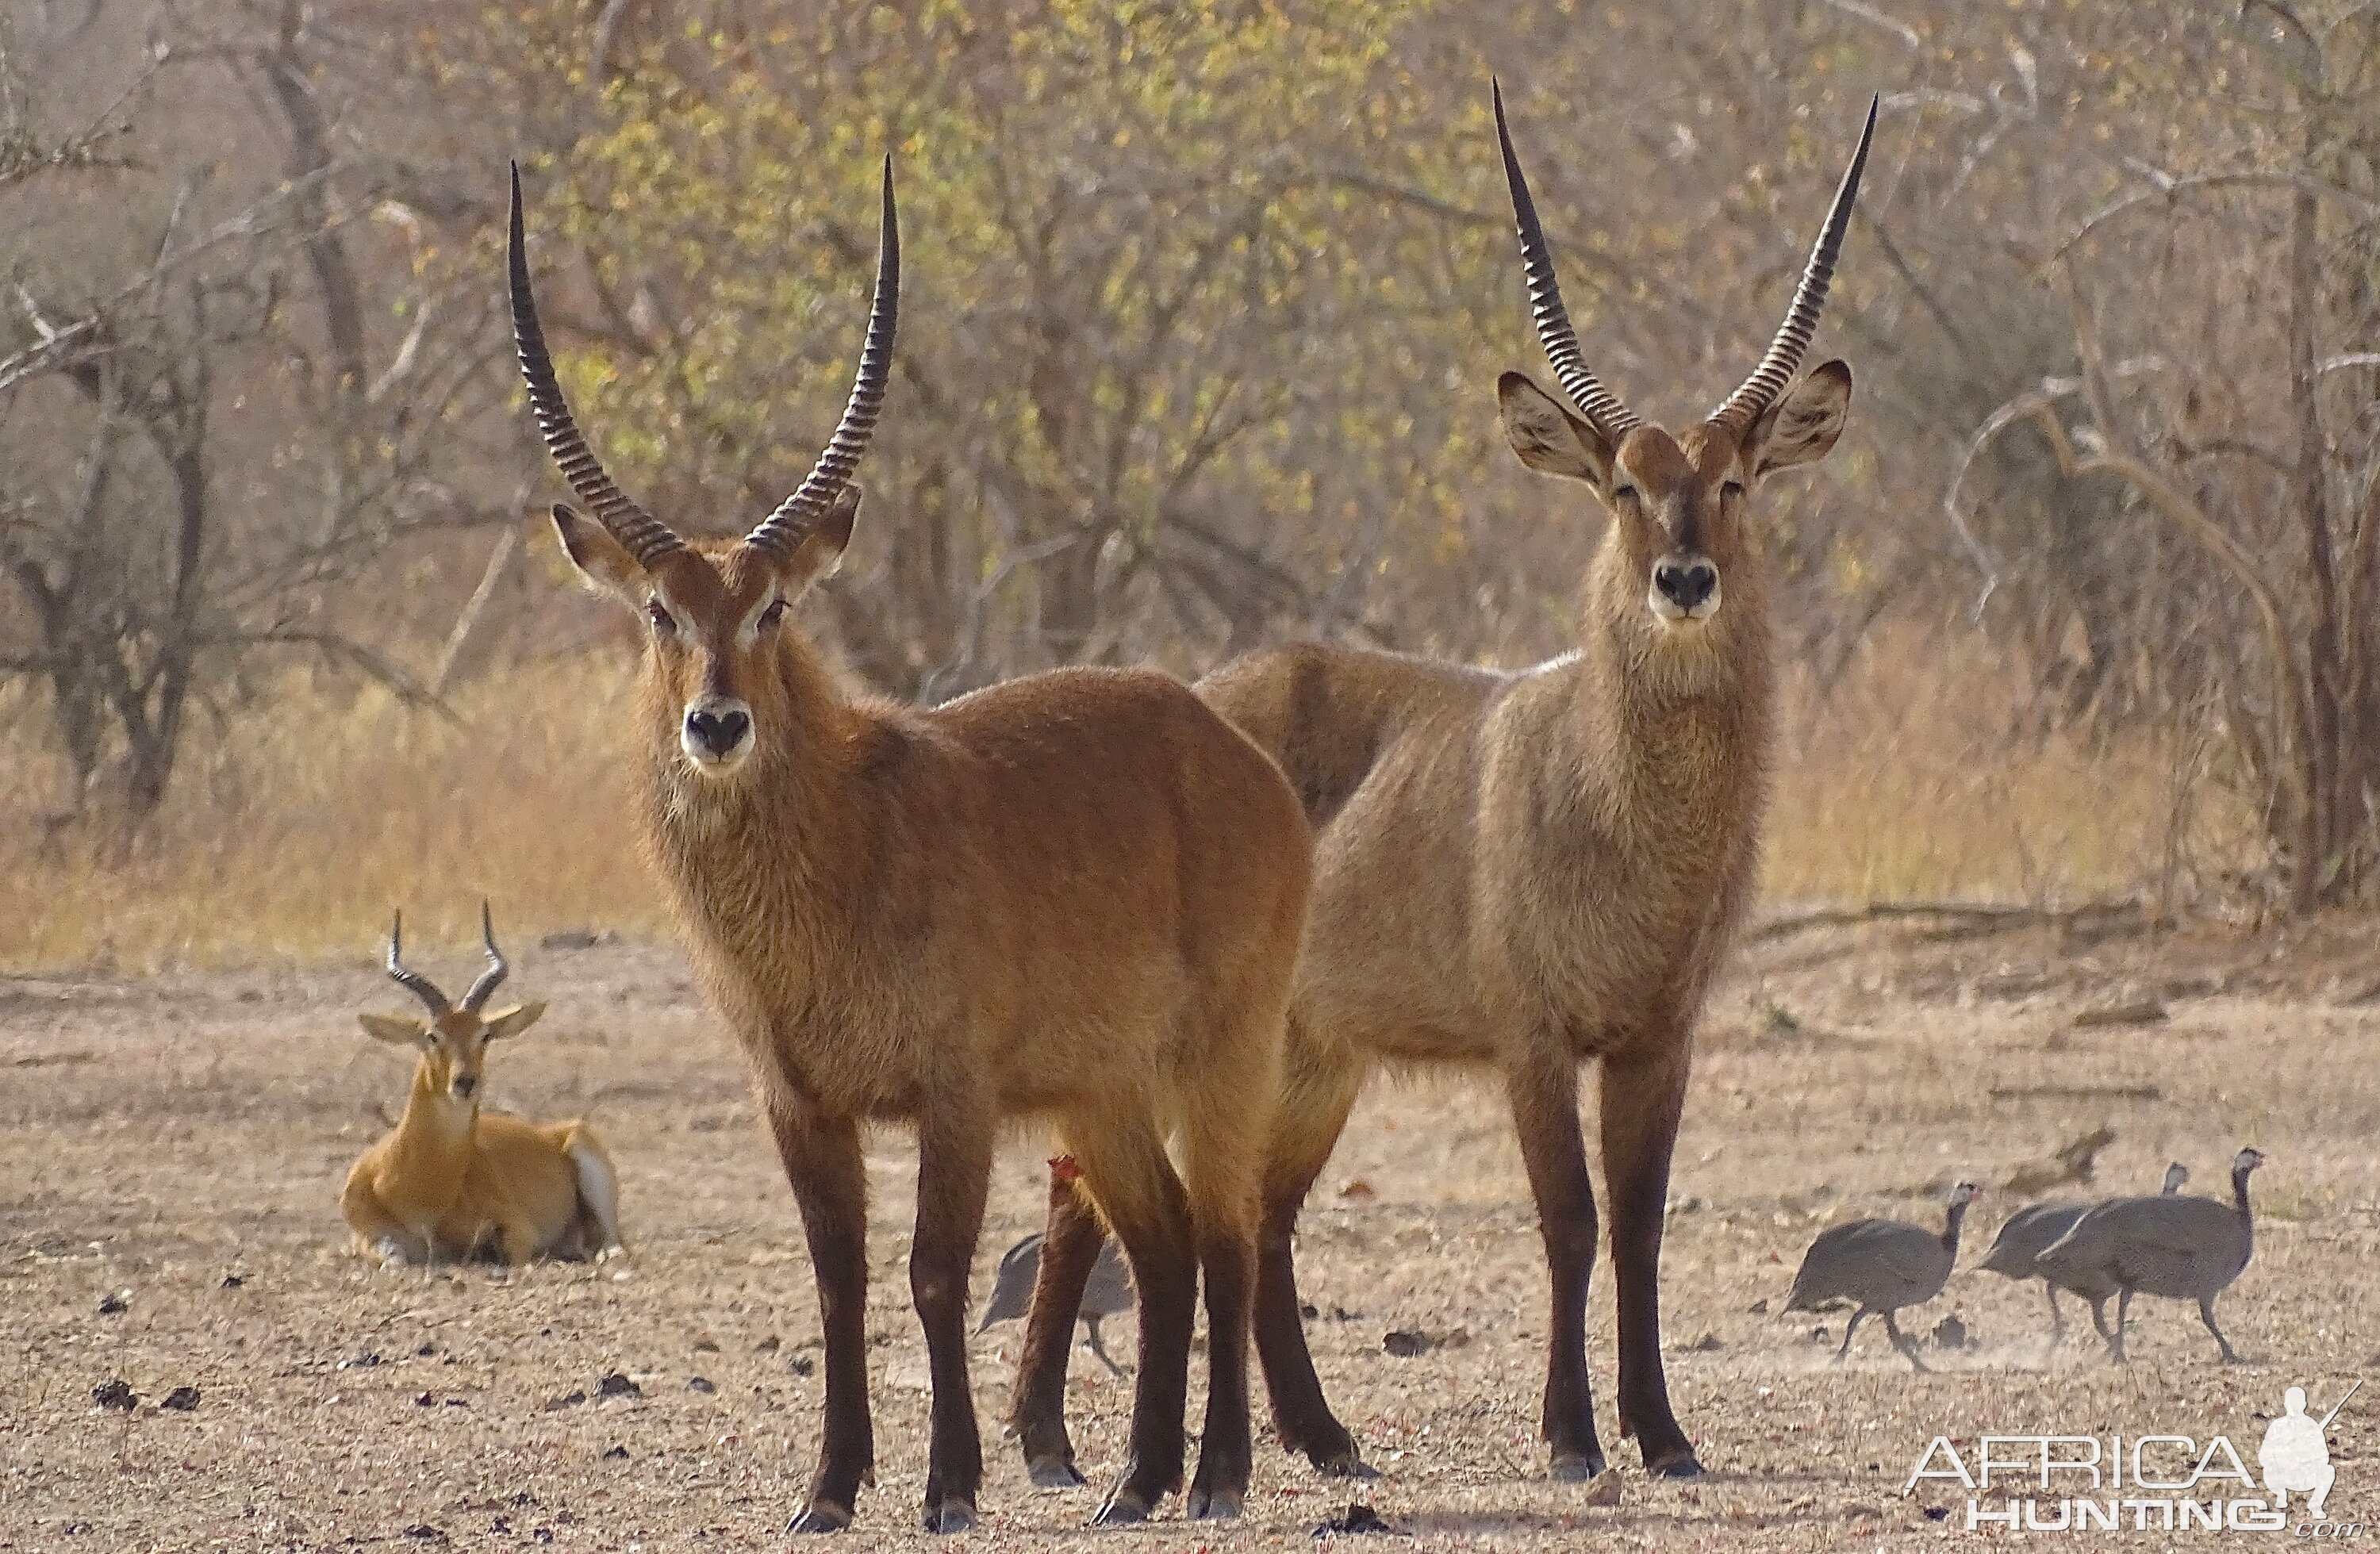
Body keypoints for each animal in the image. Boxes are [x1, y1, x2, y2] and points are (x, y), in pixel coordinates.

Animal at [345, 904, 628, 1266]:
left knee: (615, 1243)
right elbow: (392, 1257)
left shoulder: (519, 1228)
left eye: (485, 1035)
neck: (416, 1190)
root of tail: (554, 1131)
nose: (465, 1083)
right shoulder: (367, 1237)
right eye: (432, 1036)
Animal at [509, 160, 1314, 1523]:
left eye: (775, 606)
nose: (715, 722)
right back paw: (1135, 1481)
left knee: (1222, 1232)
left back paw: (1213, 1478)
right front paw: (830, 1485)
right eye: (663, 608)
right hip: (1098, 1087)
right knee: (1160, 1244)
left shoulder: (956, 1090)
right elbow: (837, 1276)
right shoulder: (796, 1101)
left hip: (1221, 1051)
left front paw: (949, 1483)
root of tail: (1232, 749)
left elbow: (935, 1270)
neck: (839, 846)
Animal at [1023, 82, 1875, 1475]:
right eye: (1623, 484)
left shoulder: (1659, 1037)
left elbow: (1642, 1221)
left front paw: (1664, 1432)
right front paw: (1574, 1436)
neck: (1620, 802)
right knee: (1086, 1178)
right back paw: (1054, 1441)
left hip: (1313, 1053)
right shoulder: (1533, 1037)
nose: (1684, 578)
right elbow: (1570, 1220)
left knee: (1260, 1212)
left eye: (1736, 480)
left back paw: (1323, 1437)